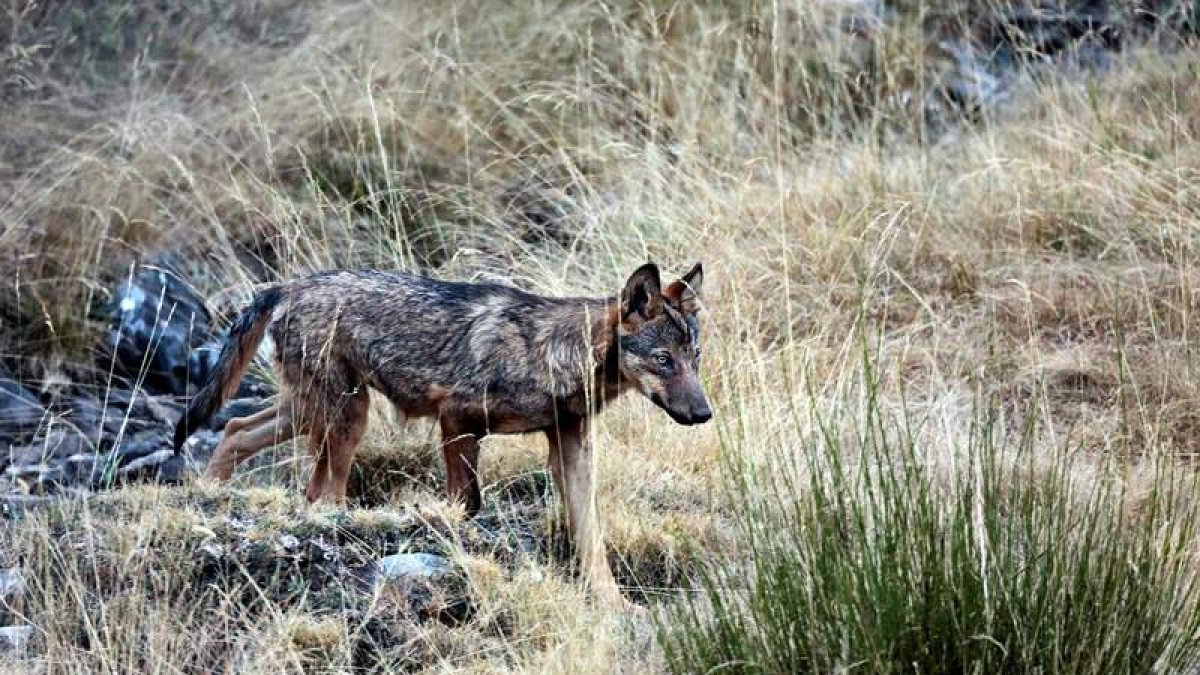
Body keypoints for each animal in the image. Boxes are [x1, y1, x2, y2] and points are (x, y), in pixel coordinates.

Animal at [173, 262, 710, 604]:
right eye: (664, 360)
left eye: (695, 358)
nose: (705, 414)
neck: (552, 353)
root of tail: (288, 285)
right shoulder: (456, 421)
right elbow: (466, 503)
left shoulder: (571, 447)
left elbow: (591, 540)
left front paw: (615, 604)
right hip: (344, 417)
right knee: (318, 491)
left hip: (312, 412)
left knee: (237, 429)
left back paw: (207, 494)